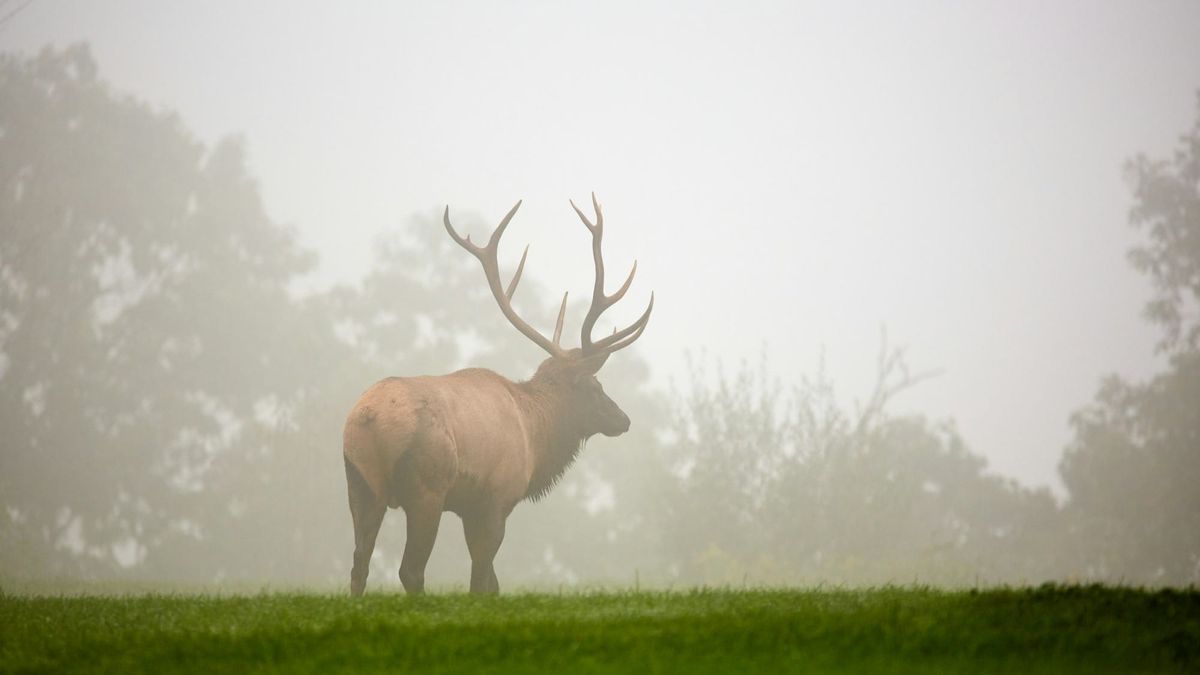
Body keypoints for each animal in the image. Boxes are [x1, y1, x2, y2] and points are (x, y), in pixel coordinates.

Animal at [342, 194, 653, 596]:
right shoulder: (496, 498)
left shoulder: (471, 507)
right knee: (410, 570)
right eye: (594, 386)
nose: (623, 419)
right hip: (426, 486)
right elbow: (482, 581)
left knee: (359, 565)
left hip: (359, 482)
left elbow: (491, 583)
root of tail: (367, 419)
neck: (535, 437)